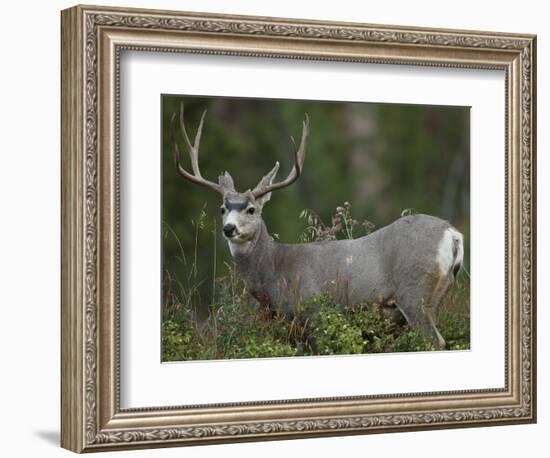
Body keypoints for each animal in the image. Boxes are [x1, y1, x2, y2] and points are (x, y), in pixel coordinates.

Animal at [169, 103, 466, 348]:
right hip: (436, 294)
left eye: (251, 209)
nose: (228, 228)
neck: (276, 270)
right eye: (222, 209)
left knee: (436, 341)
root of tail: (452, 234)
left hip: (414, 291)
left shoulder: (313, 313)